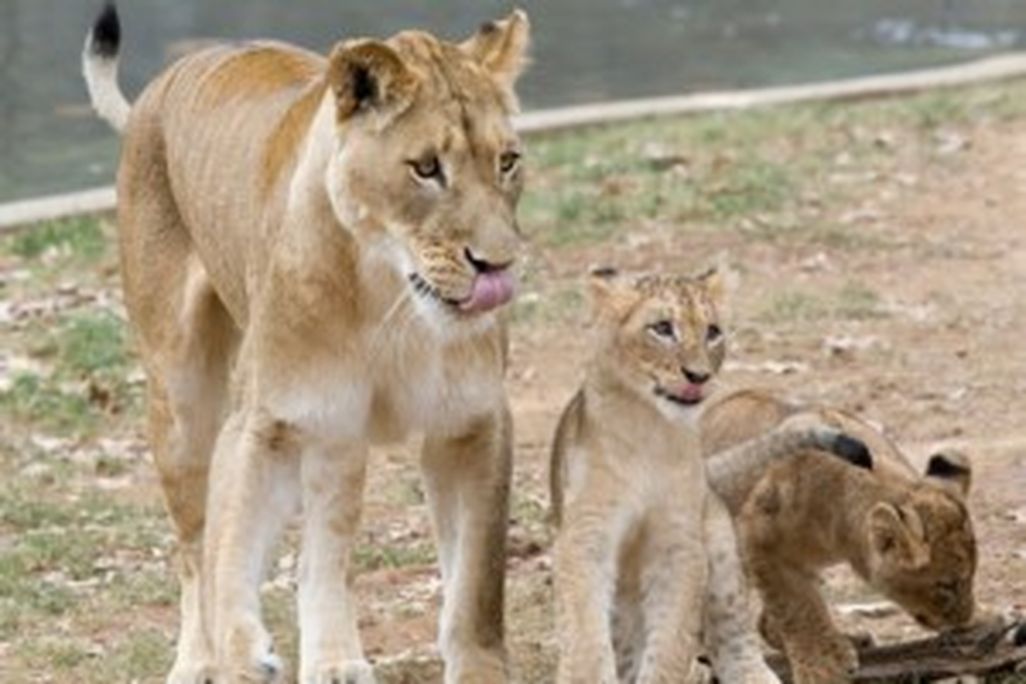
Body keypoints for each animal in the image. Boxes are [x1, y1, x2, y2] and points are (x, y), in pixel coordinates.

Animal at [83, 3, 530, 683]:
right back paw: (197, 661)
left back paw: (335, 659)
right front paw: (241, 648)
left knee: (323, 551)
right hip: (183, 400)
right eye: (426, 167)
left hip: (337, 434)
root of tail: (163, 83)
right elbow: (227, 550)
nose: (497, 266)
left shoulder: (471, 424)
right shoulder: (264, 422)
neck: (385, 294)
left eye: (506, 162)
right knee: (194, 550)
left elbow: (476, 588)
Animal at [548, 268, 873, 683]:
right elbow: (586, 633)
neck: (650, 431)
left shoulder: (679, 545)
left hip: (719, 555)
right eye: (662, 328)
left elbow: (671, 642)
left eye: (713, 331)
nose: (698, 376)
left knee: (735, 645)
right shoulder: (587, 536)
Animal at [701, 388, 977, 683]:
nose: (966, 621)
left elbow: (794, 606)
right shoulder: (757, 533)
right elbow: (795, 605)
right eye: (947, 585)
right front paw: (823, 665)